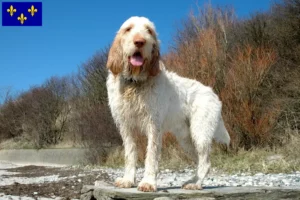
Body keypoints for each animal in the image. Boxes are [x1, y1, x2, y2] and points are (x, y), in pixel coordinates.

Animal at [105, 16, 230, 192]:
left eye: (149, 30)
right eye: (128, 29)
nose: (140, 41)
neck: (134, 83)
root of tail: (214, 95)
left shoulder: (154, 126)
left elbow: (151, 156)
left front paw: (148, 182)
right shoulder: (126, 126)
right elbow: (130, 154)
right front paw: (128, 180)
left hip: (200, 133)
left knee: (205, 162)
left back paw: (195, 184)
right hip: (186, 138)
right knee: (200, 161)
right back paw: (192, 181)